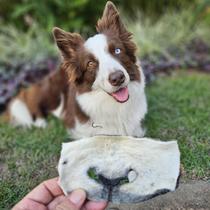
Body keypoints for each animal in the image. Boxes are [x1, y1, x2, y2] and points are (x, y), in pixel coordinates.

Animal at [7, 2, 148, 139]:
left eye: (117, 51)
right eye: (90, 63)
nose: (118, 78)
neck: (116, 108)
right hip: (52, 90)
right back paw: (41, 123)